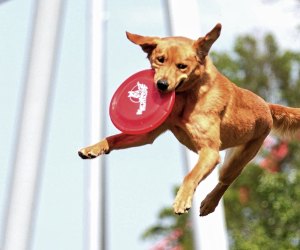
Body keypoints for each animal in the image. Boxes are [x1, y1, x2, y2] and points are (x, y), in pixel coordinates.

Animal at [78, 23, 300, 216]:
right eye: (160, 59)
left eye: (182, 66)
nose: (161, 85)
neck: (187, 97)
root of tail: (267, 106)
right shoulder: (148, 133)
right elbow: (114, 138)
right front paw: (93, 148)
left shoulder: (210, 152)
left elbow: (190, 175)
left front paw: (182, 199)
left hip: (238, 158)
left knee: (226, 181)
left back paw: (209, 203)